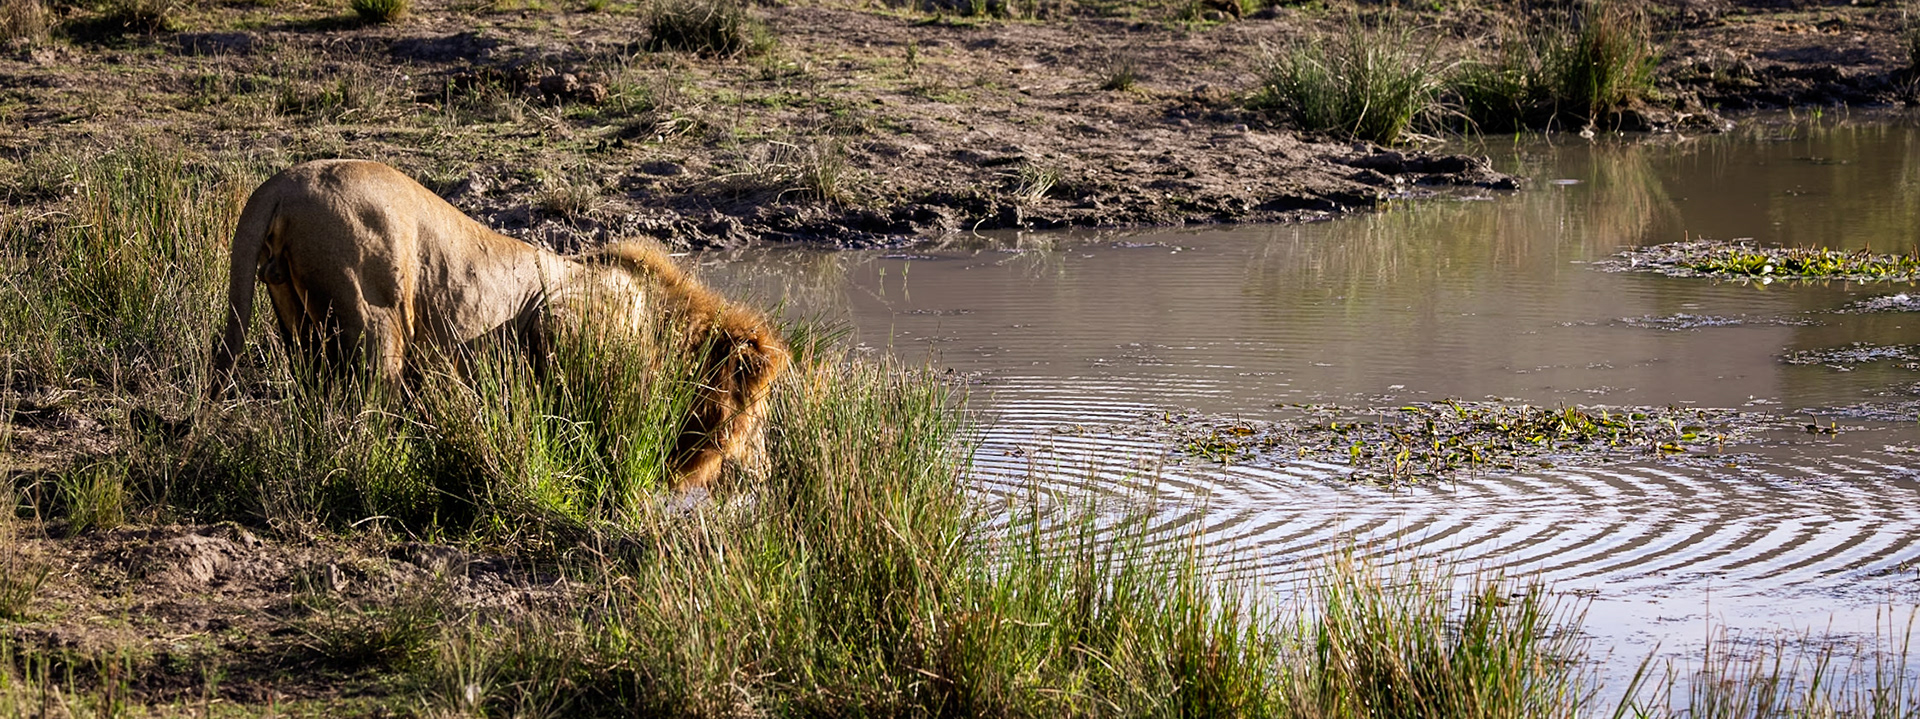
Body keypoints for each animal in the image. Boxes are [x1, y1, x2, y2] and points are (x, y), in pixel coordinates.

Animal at [208, 159, 788, 491]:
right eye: (759, 417)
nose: (765, 471)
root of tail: (282, 183)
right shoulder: (562, 314)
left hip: (298, 322)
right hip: (376, 318)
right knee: (364, 410)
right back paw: (386, 464)